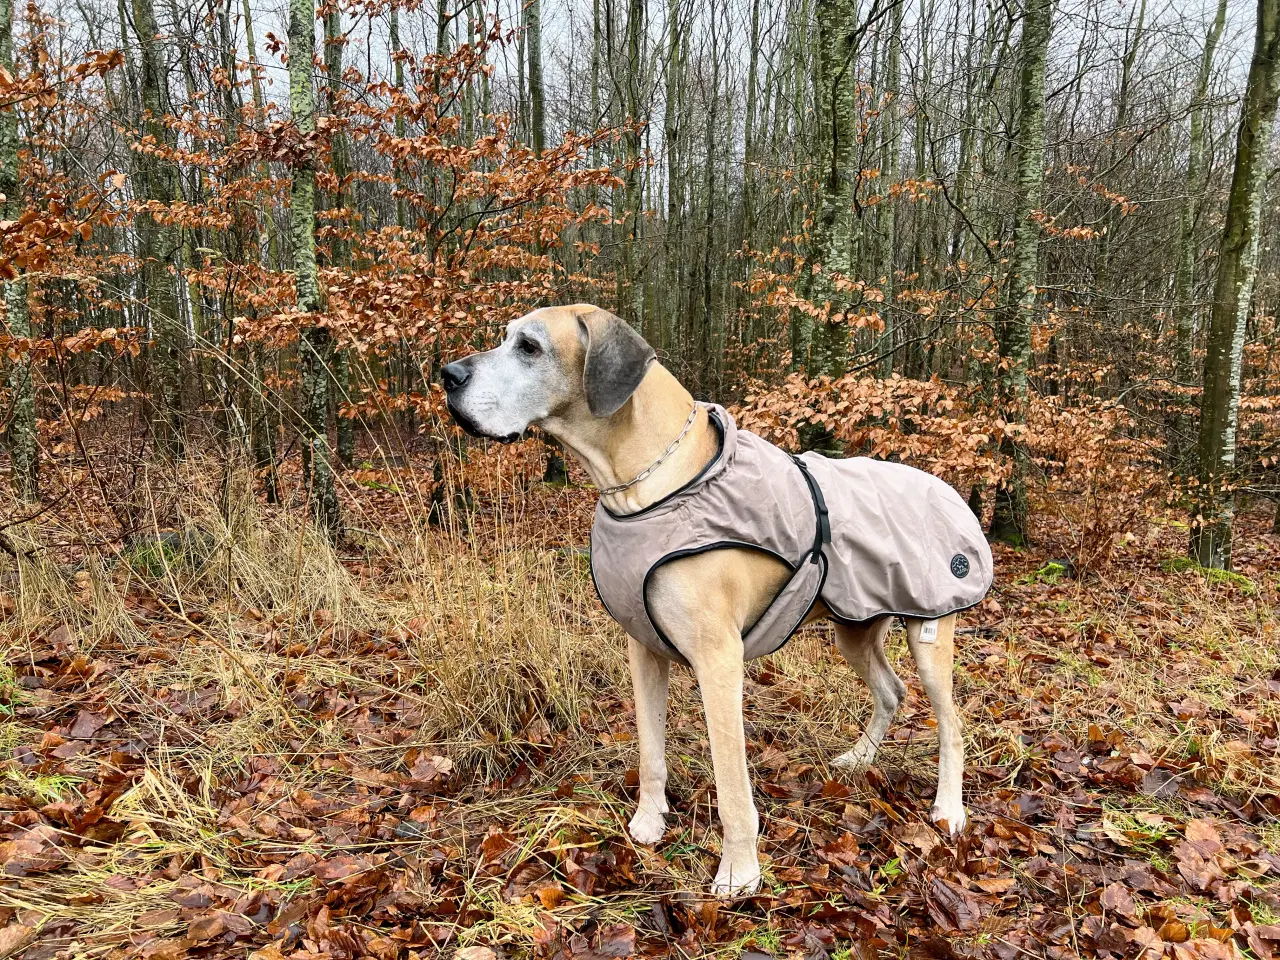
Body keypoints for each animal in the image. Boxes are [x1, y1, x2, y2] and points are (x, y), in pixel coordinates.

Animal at [442, 304, 988, 901]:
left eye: (530, 347)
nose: (448, 375)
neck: (651, 486)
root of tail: (945, 487)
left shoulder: (718, 660)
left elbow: (731, 783)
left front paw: (739, 872)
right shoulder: (643, 650)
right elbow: (651, 750)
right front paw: (650, 820)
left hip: (931, 628)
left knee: (953, 723)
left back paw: (949, 808)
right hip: (855, 624)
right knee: (891, 690)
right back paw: (860, 757)